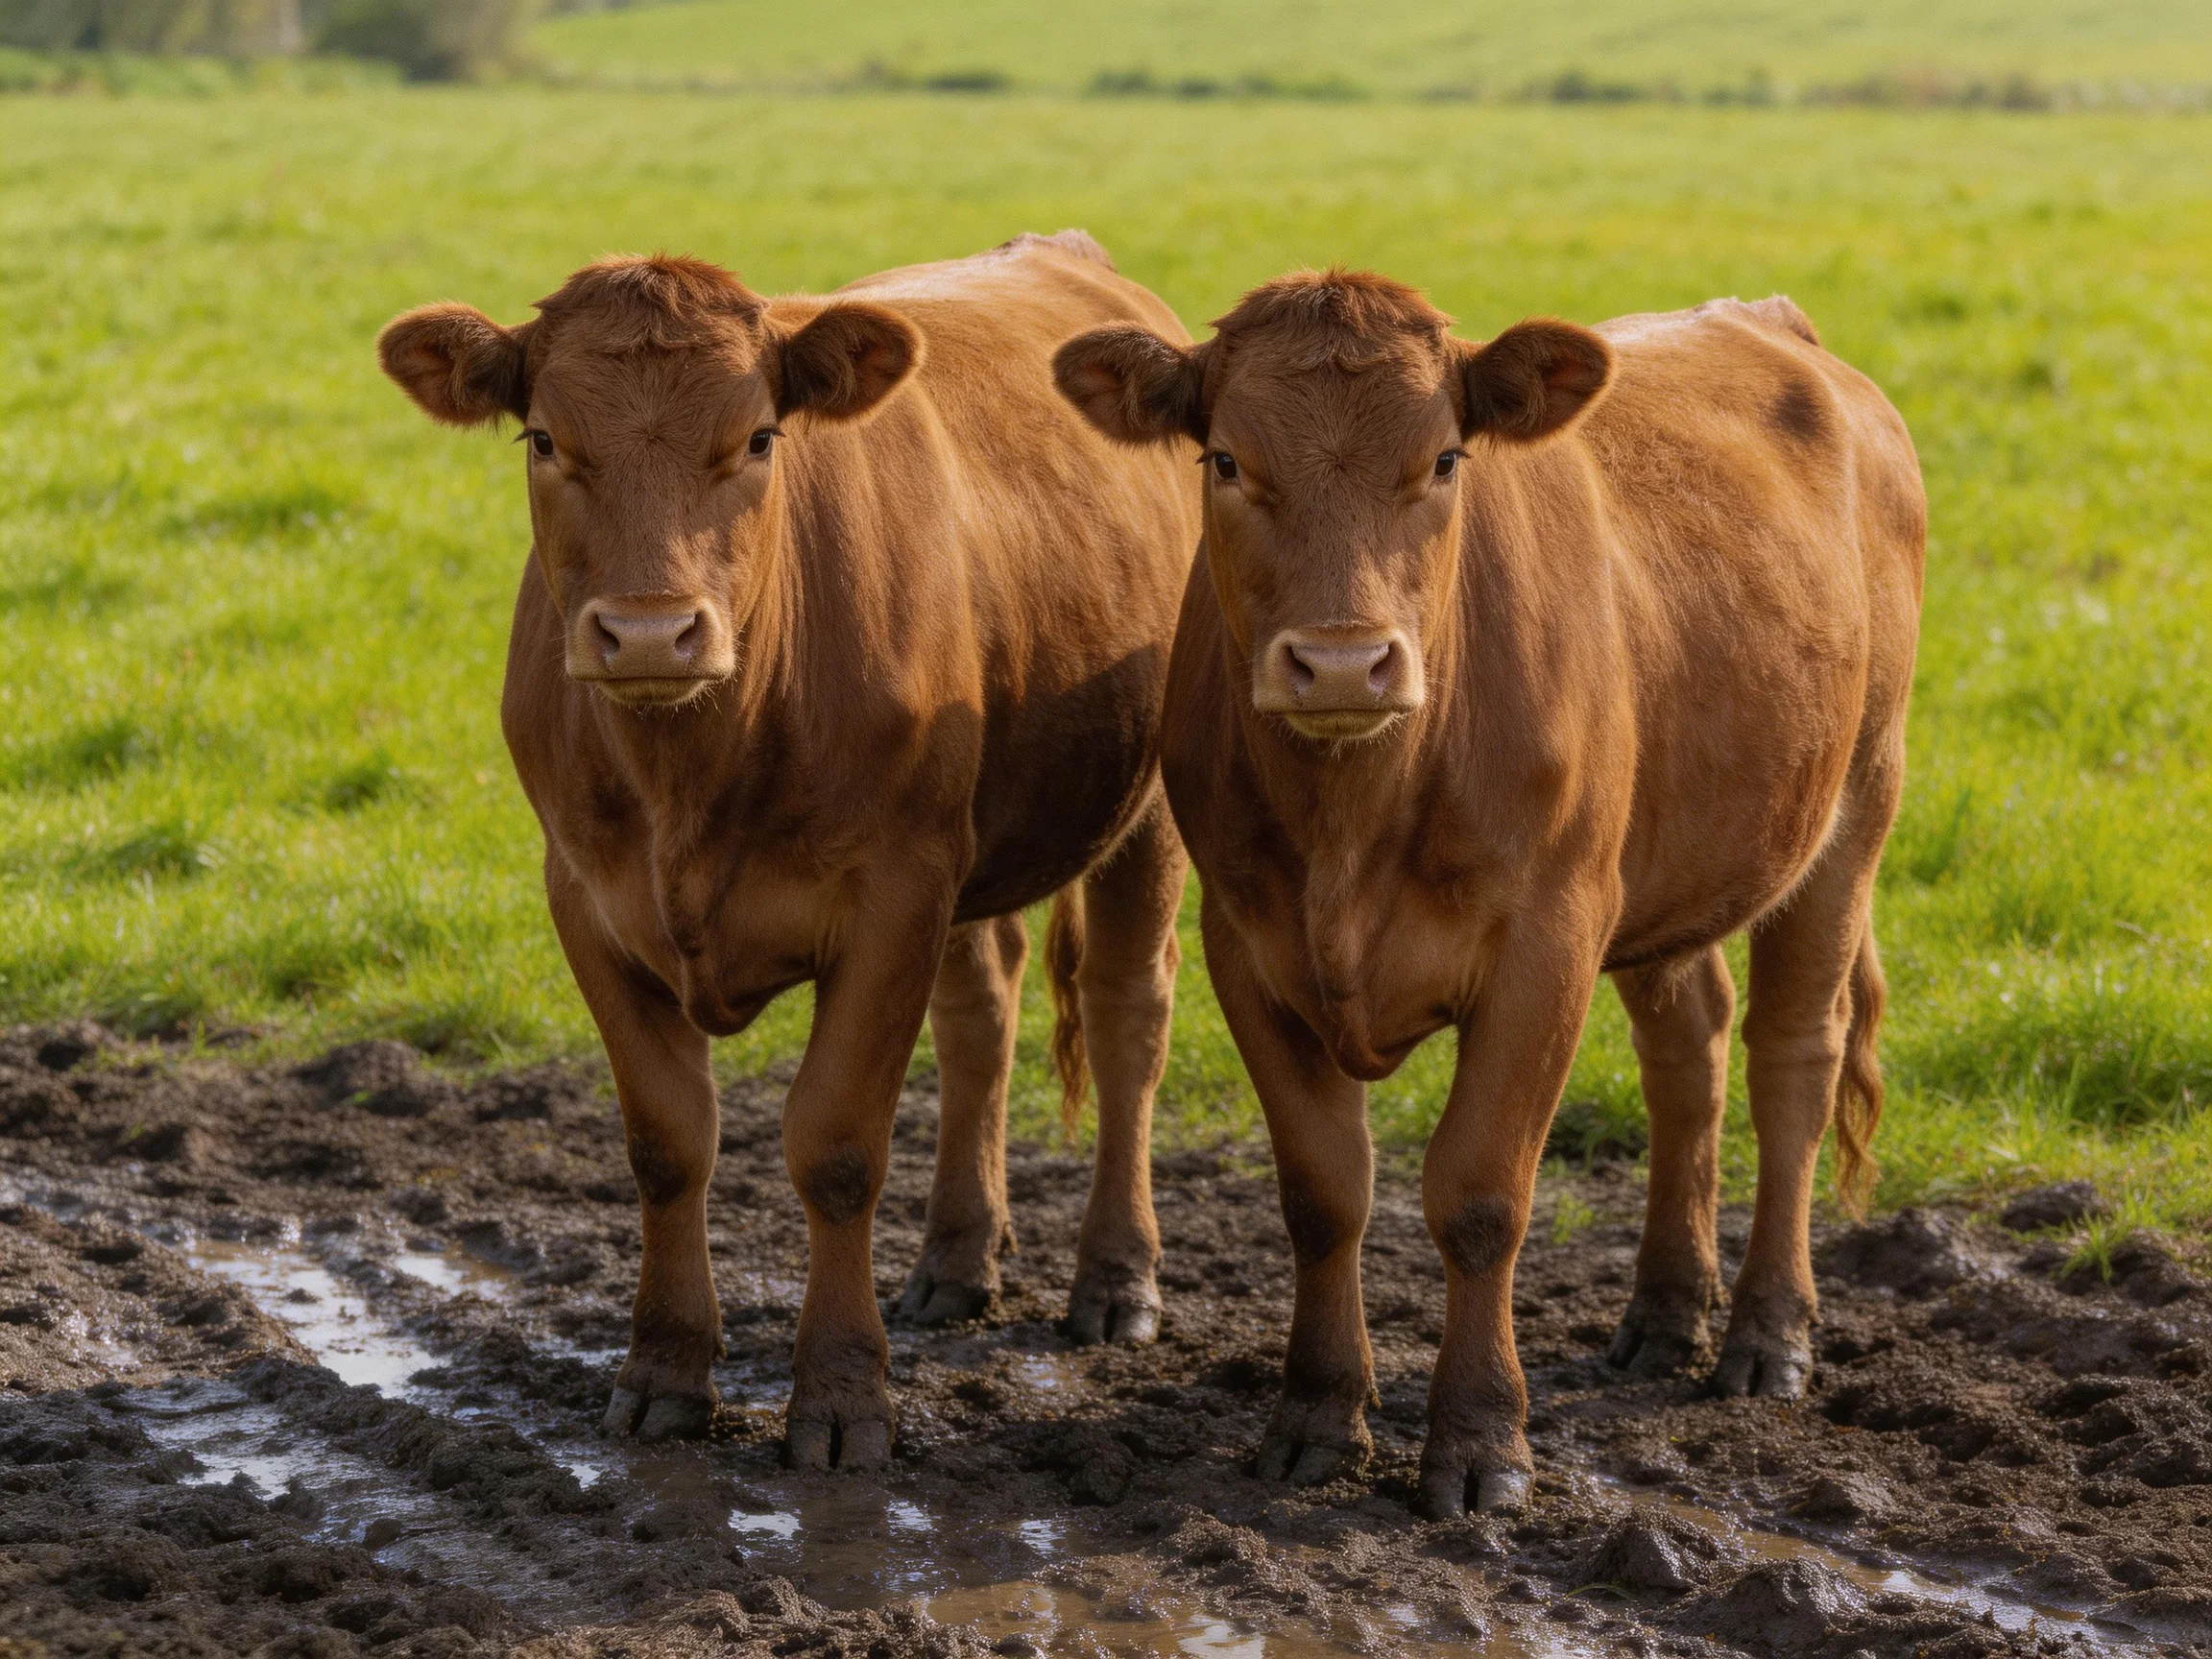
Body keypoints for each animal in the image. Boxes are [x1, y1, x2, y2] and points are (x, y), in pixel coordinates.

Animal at [377, 233, 1199, 1466]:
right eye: (545, 440)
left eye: (759, 438)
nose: (651, 633)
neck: (693, 771)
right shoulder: (586, 897)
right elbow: (668, 1142)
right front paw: (665, 1370)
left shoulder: (893, 895)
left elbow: (838, 1147)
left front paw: (842, 1395)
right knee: (982, 1020)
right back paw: (957, 1262)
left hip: (1141, 816)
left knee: (1125, 1016)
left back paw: (1117, 1282)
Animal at [1053, 271, 1923, 1516]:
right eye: (1224, 459)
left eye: (1445, 459)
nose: (1341, 661)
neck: (1356, 818)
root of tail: (1769, 321)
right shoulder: (1248, 945)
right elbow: (1324, 1193)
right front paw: (1317, 1415)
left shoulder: (1544, 945)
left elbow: (1479, 1196)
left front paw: (1479, 1443)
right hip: (1669, 865)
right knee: (1690, 1054)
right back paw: (1666, 1313)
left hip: (1854, 807)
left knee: (1792, 1061)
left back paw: (1768, 1335)